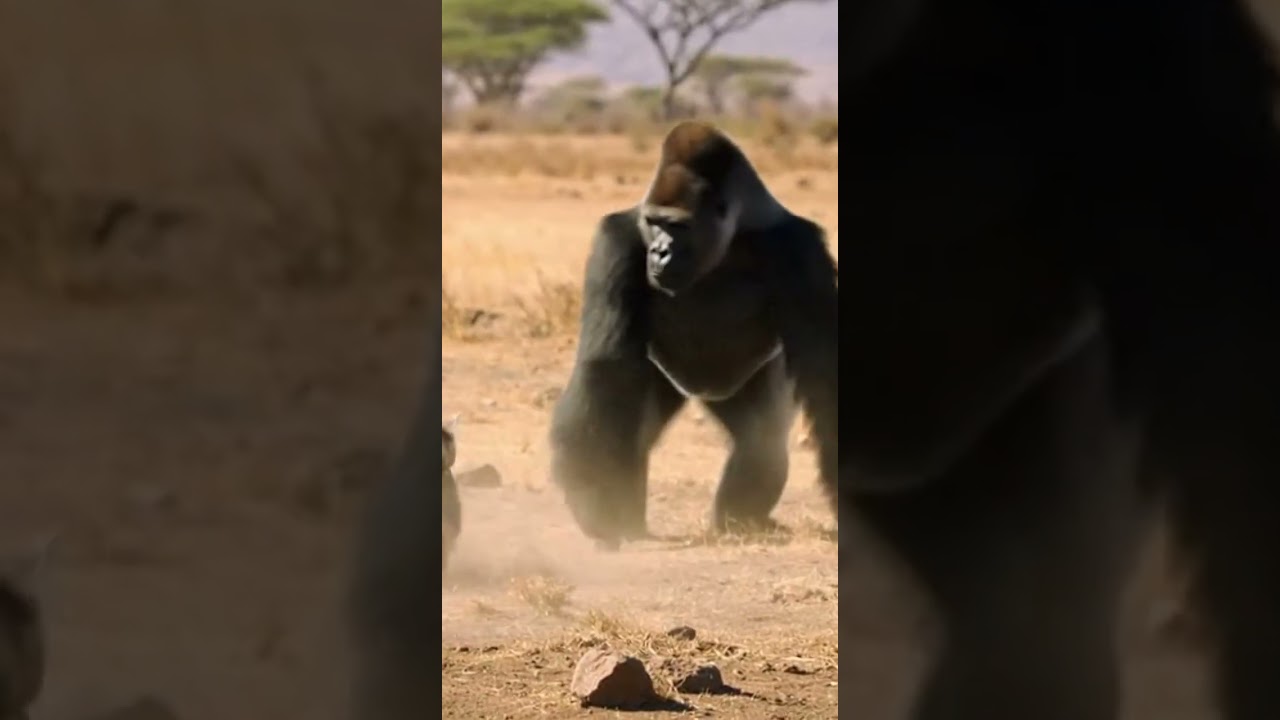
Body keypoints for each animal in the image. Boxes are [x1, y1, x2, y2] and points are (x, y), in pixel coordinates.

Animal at [548, 120, 838, 550]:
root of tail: (702, 391)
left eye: (678, 226)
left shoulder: (802, 251)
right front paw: (601, 506)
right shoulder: (616, 242)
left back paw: (740, 520)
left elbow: (824, 372)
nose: (659, 253)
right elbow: (608, 365)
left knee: (760, 441)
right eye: (654, 222)